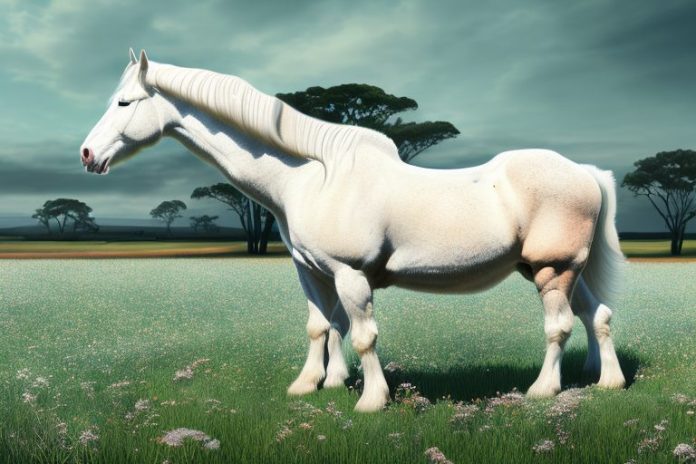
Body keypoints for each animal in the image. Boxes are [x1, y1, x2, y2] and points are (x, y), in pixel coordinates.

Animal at [80, 49, 626, 412]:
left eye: (125, 103)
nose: (87, 154)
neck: (313, 175)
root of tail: (585, 172)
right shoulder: (312, 272)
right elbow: (322, 326)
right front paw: (311, 385)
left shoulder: (350, 273)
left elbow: (362, 335)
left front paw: (371, 401)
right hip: (560, 270)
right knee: (597, 315)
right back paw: (609, 383)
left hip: (553, 270)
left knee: (559, 326)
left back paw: (542, 390)